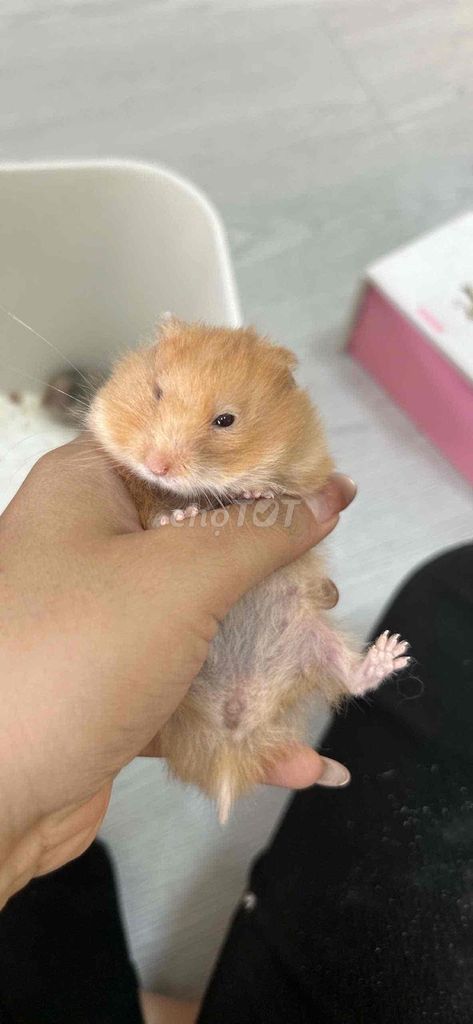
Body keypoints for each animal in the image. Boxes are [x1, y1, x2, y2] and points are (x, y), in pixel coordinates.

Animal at [88, 318, 409, 821]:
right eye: (156, 392)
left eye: (226, 420)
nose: (157, 465)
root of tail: (232, 734)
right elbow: (152, 510)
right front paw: (179, 516)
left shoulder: (309, 467)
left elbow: (282, 487)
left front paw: (254, 494)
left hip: (314, 640)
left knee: (351, 680)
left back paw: (392, 652)